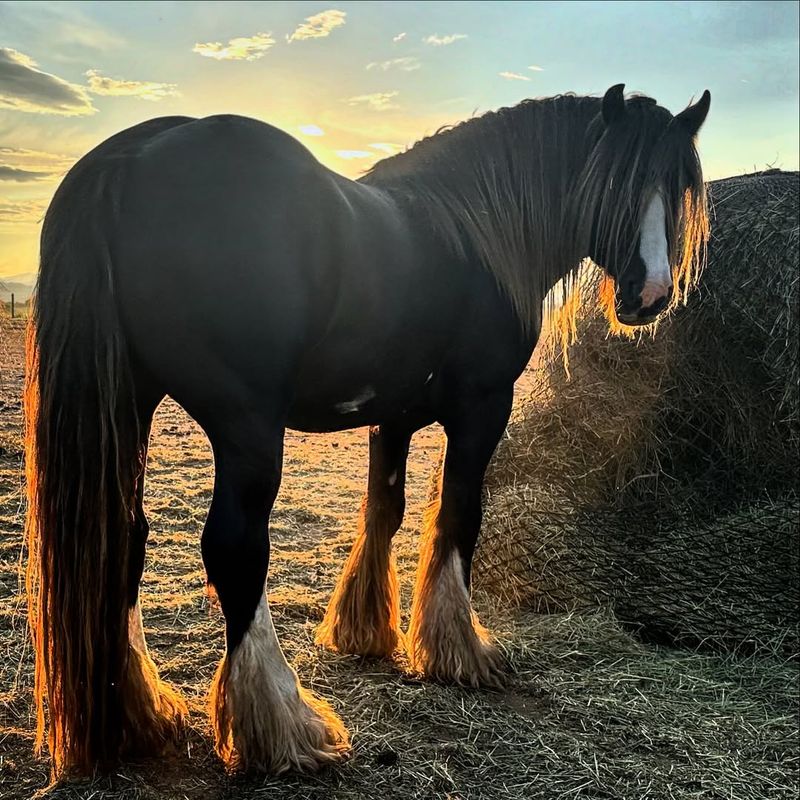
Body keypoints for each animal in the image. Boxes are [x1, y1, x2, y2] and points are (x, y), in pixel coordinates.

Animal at [26, 84, 708, 780]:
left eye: (676, 186)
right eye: (618, 183)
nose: (652, 293)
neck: (475, 231)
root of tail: (136, 156)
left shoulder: (394, 414)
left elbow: (386, 507)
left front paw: (365, 631)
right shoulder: (482, 407)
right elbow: (459, 515)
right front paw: (461, 650)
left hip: (132, 404)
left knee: (123, 537)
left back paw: (140, 714)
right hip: (245, 424)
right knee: (234, 549)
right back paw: (285, 724)